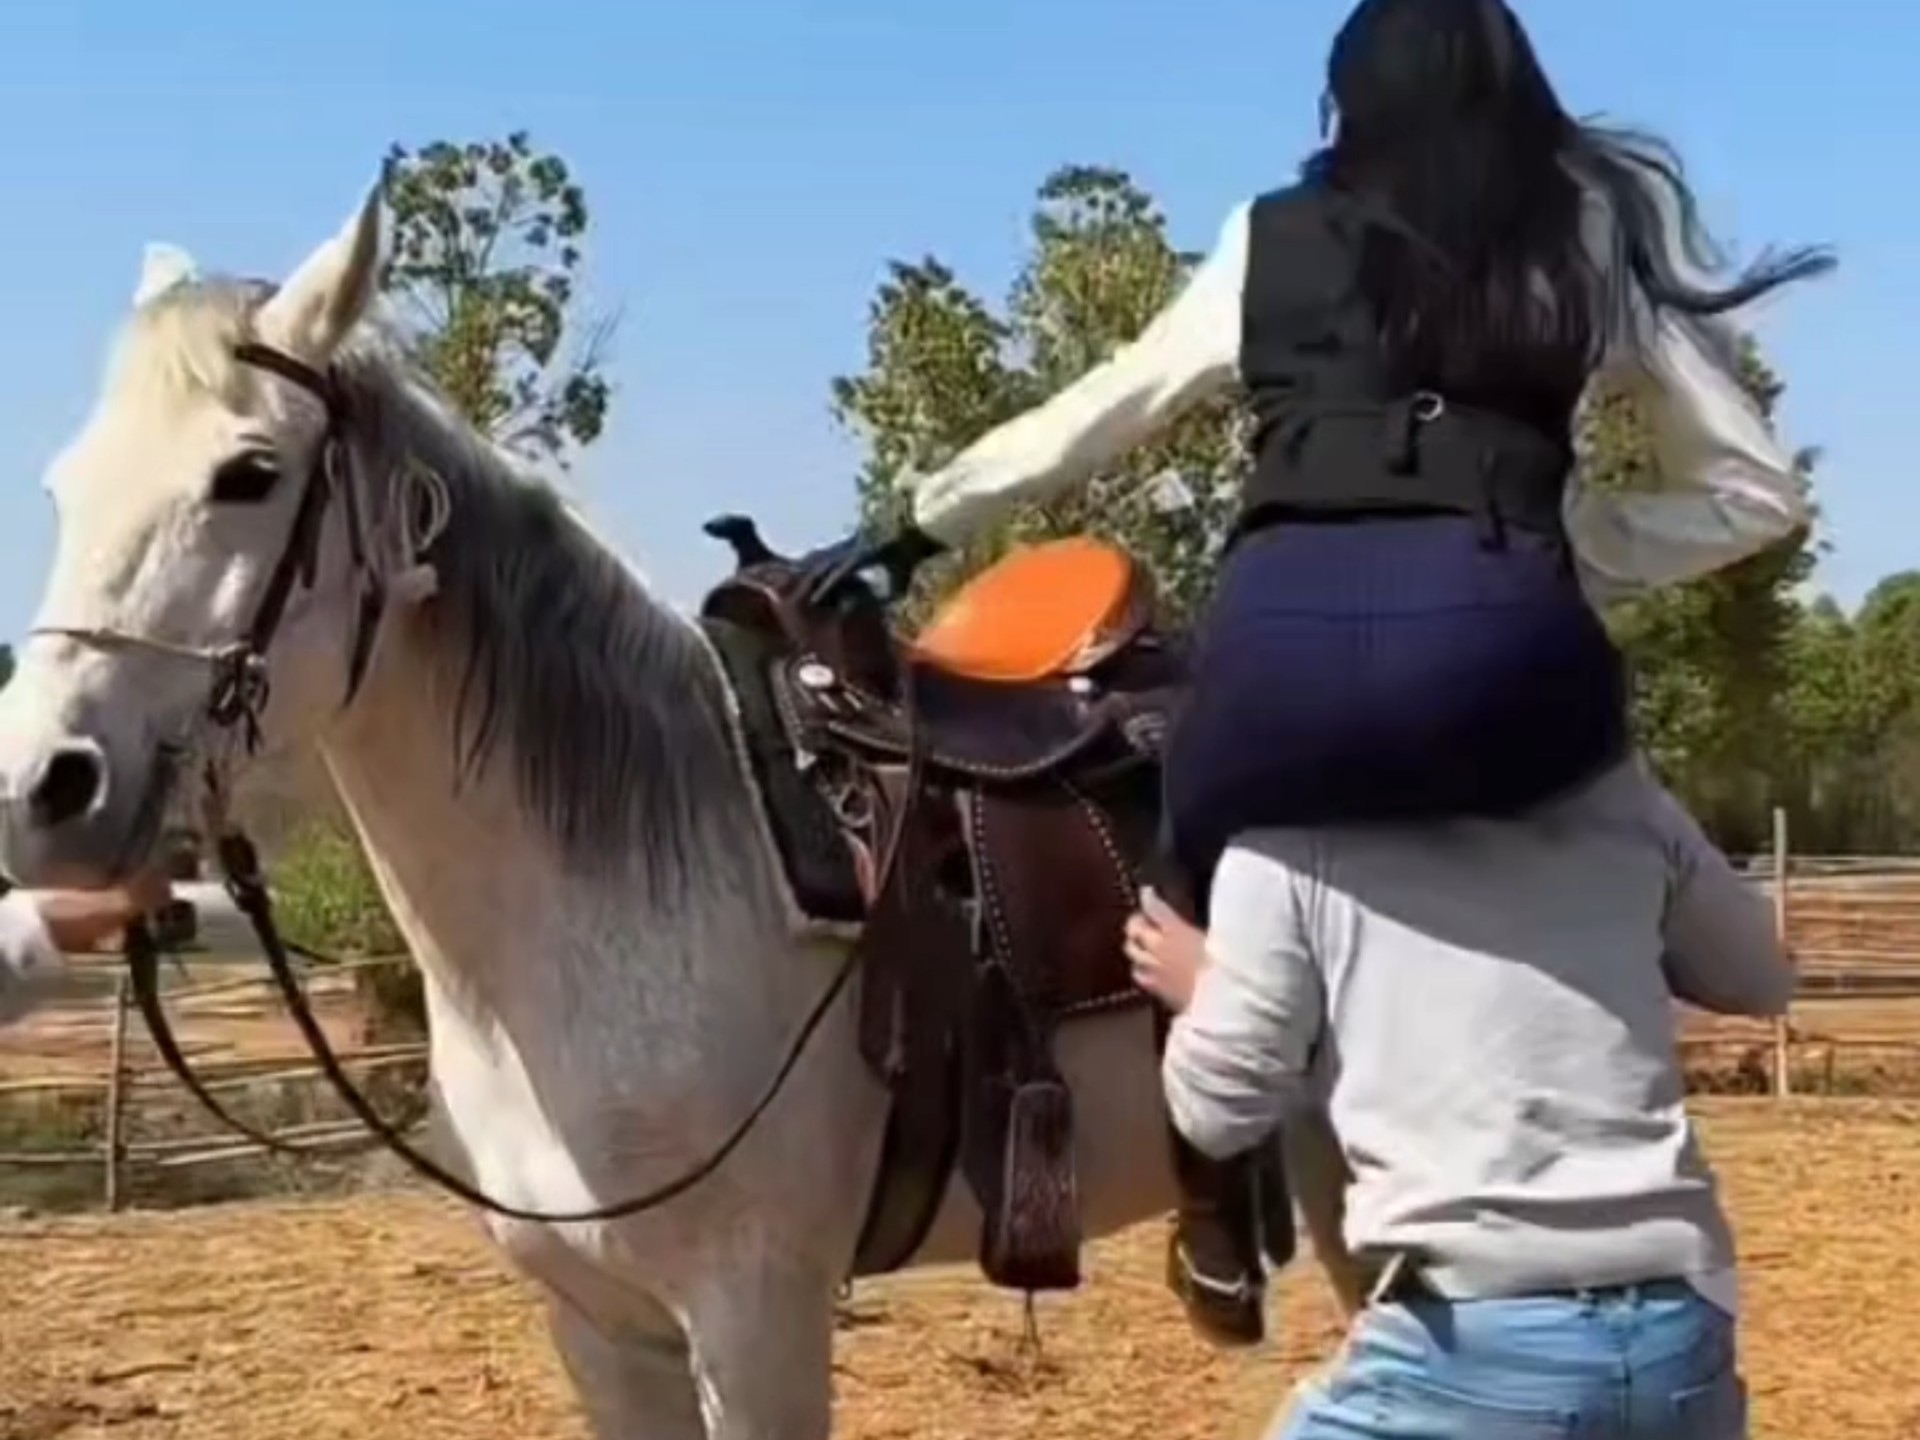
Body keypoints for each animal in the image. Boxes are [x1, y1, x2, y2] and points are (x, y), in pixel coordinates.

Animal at [0, 180, 1361, 1438]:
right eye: (64, 486)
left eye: (249, 473)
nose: (40, 789)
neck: (623, 910)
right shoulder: (603, 1328)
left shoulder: (756, 1318)